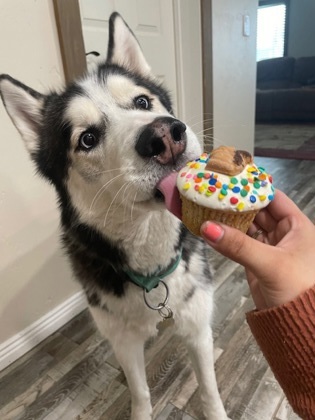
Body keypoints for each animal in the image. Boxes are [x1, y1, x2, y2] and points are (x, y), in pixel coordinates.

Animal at [0, 12, 227, 420]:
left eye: (142, 101)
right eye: (87, 138)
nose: (165, 135)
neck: (152, 269)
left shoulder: (197, 324)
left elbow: (208, 387)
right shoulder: (122, 341)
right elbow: (139, 391)